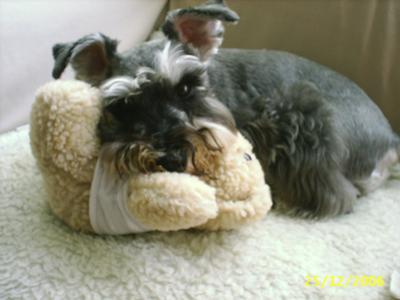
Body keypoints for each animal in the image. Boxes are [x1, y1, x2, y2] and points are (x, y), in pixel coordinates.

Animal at [52, 0, 400, 218]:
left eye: (186, 87)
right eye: (125, 105)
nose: (172, 157)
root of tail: (390, 138)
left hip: (303, 112)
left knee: (338, 193)